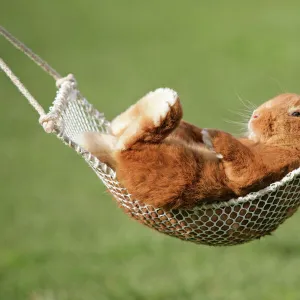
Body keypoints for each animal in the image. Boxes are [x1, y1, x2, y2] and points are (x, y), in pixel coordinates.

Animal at [77, 89, 300, 210]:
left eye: (296, 113)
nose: (255, 115)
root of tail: (115, 159)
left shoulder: (260, 169)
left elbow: (240, 159)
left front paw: (211, 136)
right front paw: (202, 133)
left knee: (132, 140)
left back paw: (164, 102)